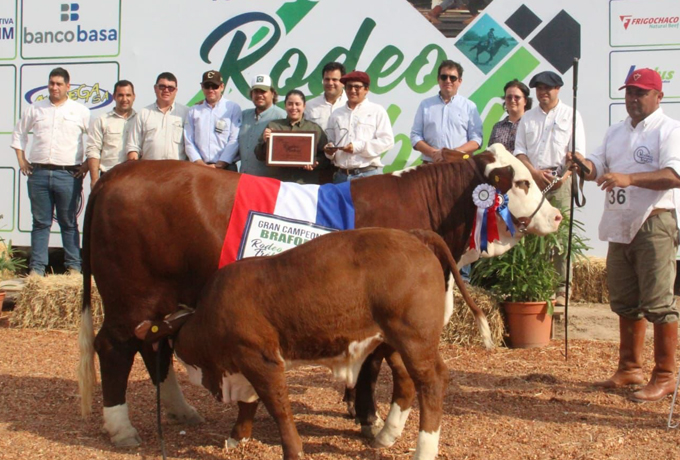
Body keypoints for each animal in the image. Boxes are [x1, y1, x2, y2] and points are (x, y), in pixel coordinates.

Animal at [134, 228, 492, 460]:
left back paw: (422, 450)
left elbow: (278, 407)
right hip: (393, 341)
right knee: (405, 381)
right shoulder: (248, 359)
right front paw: (237, 439)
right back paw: (385, 436)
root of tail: (415, 235)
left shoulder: (259, 357)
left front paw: (292, 450)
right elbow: (249, 402)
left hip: (414, 337)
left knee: (431, 383)